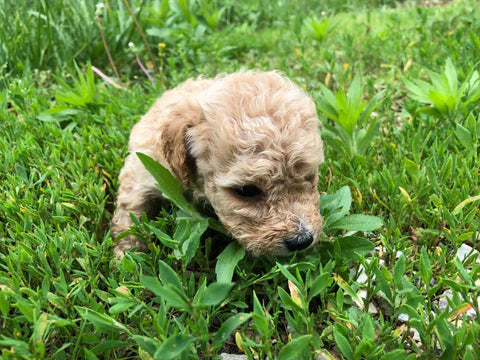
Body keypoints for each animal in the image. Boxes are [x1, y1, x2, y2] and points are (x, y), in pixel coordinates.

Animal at [111, 70, 322, 258]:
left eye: (310, 176)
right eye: (246, 190)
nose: (302, 240)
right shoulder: (143, 168)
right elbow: (131, 210)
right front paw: (128, 256)